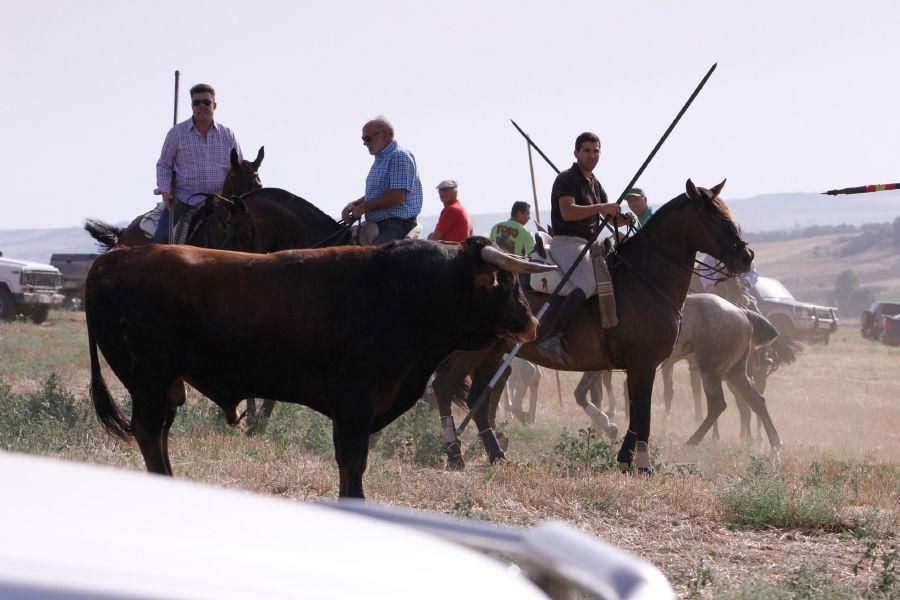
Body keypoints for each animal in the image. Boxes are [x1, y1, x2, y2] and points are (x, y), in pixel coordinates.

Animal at [88, 238, 556, 496]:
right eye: (506, 282)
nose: (532, 324)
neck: (404, 290)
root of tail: (114, 259)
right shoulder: (354, 403)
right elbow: (353, 461)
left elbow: (348, 464)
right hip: (148, 381)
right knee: (150, 436)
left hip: (165, 385)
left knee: (160, 436)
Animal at [436, 179, 768, 474]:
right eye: (714, 216)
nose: (746, 256)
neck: (644, 280)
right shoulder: (643, 363)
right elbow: (642, 415)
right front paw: (643, 465)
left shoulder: (636, 367)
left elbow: (635, 413)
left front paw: (625, 459)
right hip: (476, 351)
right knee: (447, 386)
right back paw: (455, 454)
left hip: (494, 353)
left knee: (477, 398)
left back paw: (495, 454)